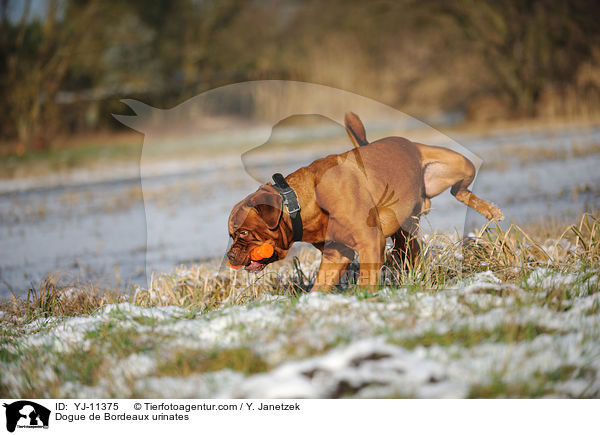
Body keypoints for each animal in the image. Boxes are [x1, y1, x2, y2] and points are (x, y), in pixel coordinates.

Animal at [229, 112, 502, 292]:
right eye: (231, 235)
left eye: (243, 232)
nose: (230, 254)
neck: (299, 203)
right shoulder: (336, 254)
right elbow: (321, 285)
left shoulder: (369, 240)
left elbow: (368, 280)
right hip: (407, 227)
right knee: (408, 247)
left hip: (460, 164)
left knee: (460, 190)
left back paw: (491, 211)